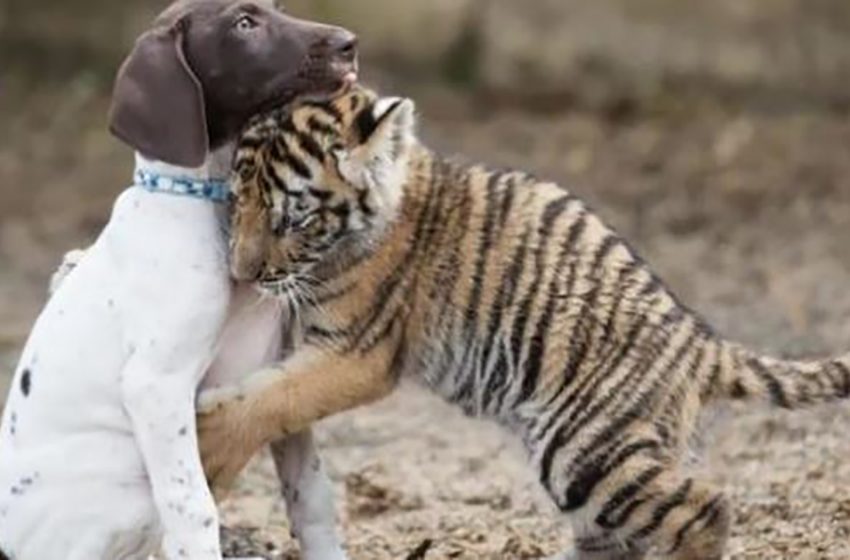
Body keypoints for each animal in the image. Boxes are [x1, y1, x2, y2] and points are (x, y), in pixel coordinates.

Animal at [0, 2, 356, 556]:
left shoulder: (276, 375)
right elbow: (193, 509)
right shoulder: (157, 386)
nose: (348, 43)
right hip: (127, 484)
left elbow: (312, 498)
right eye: (244, 23)